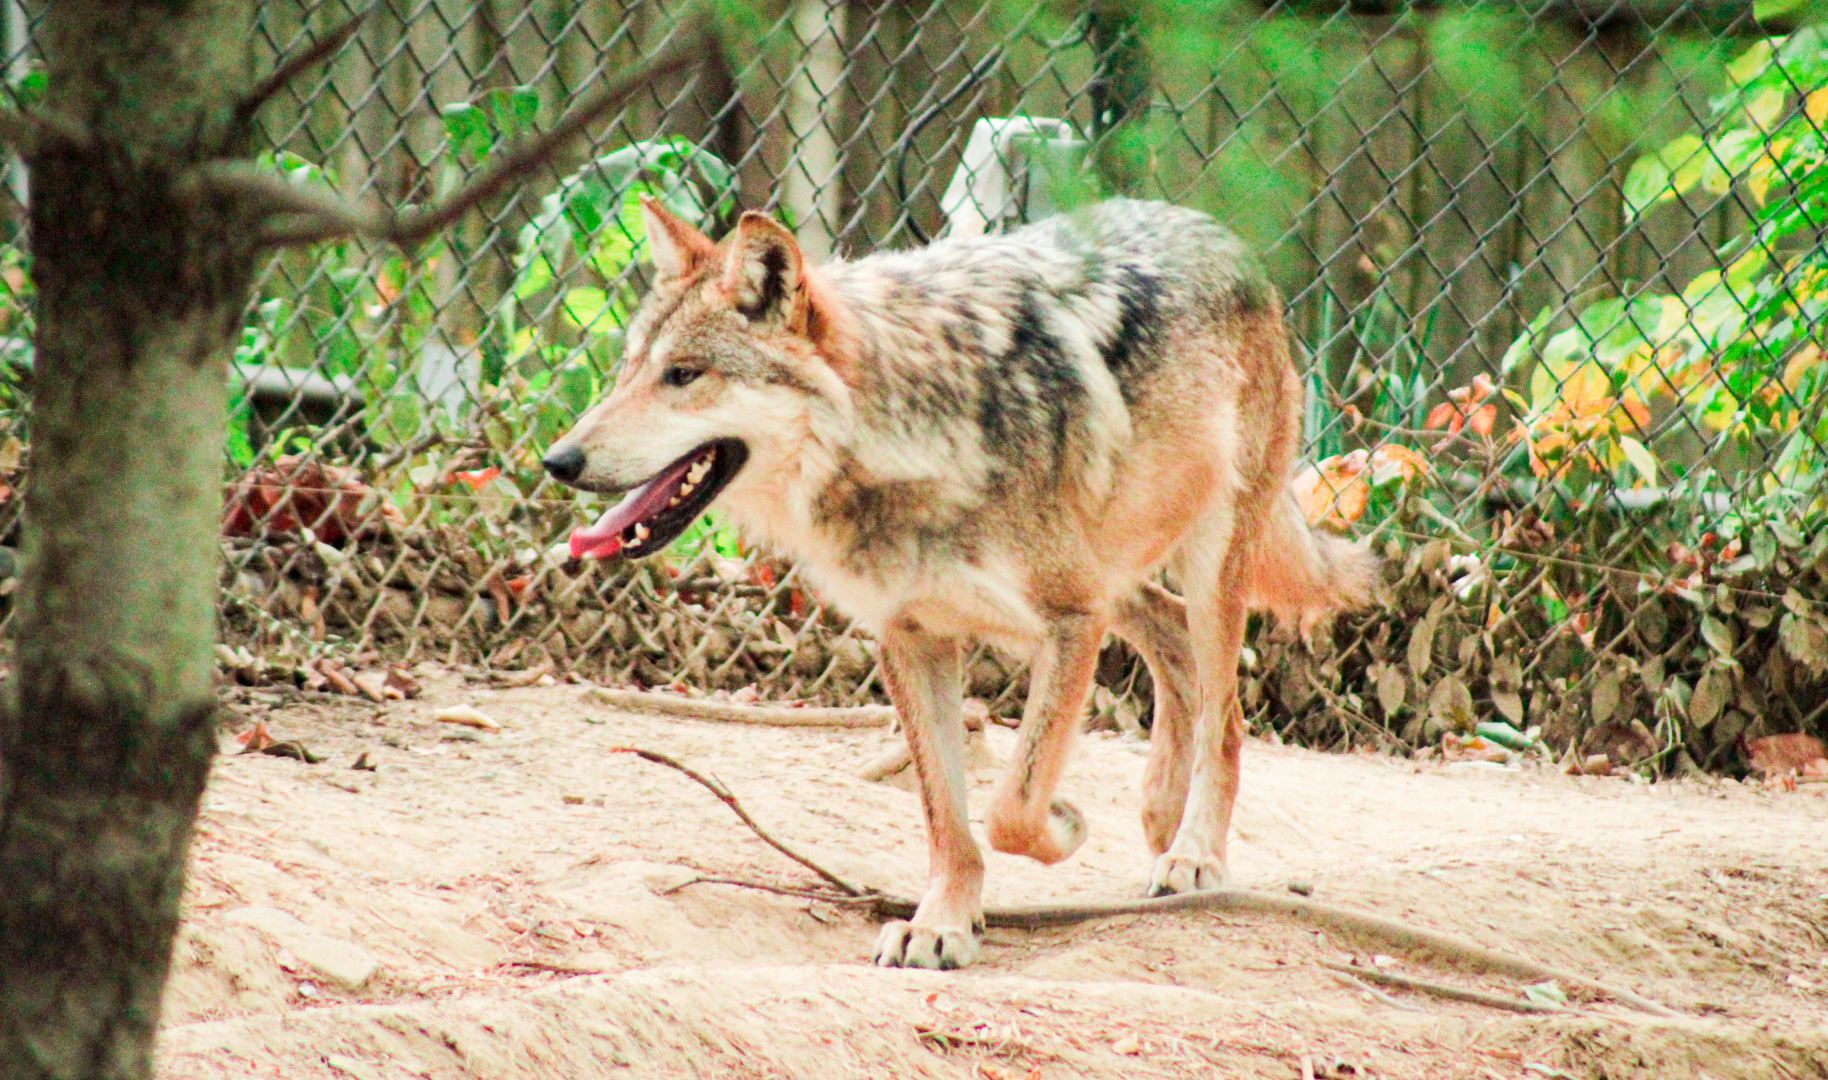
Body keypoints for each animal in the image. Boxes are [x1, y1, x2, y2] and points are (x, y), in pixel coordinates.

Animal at [542, 196, 1376, 970]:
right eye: (626, 370)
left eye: (683, 376)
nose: (559, 459)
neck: (906, 432)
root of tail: (1224, 236)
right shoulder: (911, 638)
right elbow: (946, 816)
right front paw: (940, 923)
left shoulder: (1069, 620)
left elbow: (1013, 805)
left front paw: (1063, 824)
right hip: (1120, 579)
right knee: (1171, 644)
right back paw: (1161, 812)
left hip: (1205, 564)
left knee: (1225, 720)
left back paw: (1194, 851)